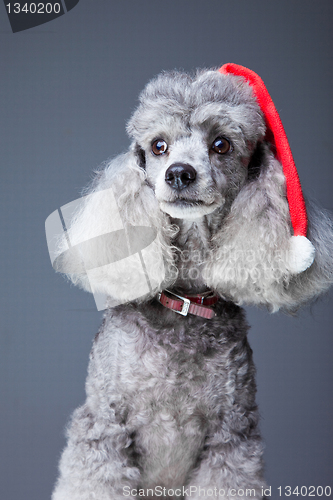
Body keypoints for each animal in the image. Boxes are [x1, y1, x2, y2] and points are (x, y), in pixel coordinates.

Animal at [50, 66, 332, 500]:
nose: (180, 173)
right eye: (158, 146)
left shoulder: (231, 439)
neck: (184, 303)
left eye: (221, 144)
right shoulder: (104, 429)